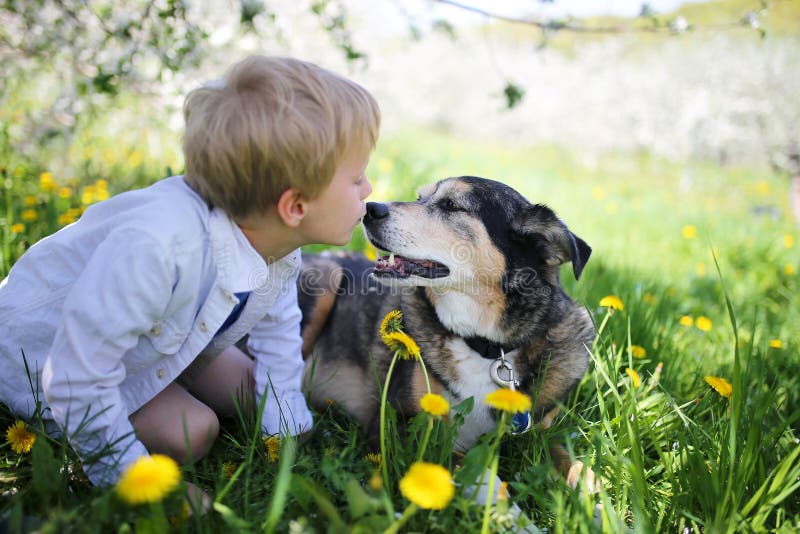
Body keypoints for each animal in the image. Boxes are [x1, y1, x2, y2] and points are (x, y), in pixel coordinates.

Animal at [298, 178, 592, 488]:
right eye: (419, 197)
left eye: (451, 205)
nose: (369, 208)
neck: (487, 347)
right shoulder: (397, 425)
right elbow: (466, 470)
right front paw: (500, 500)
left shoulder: (539, 432)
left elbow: (571, 461)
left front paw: (591, 495)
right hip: (325, 279)